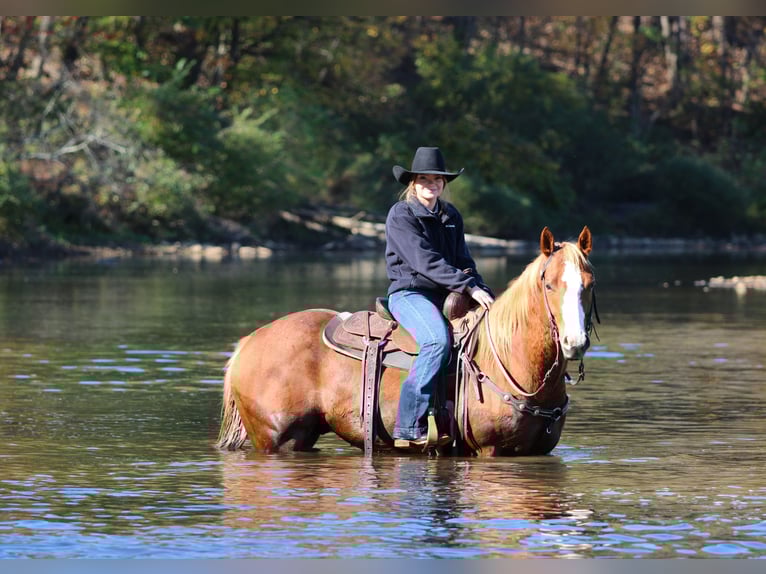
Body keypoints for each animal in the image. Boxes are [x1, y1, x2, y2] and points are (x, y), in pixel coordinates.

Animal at [217, 226, 596, 457]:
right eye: (548, 284)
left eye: (589, 283)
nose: (574, 341)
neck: (506, 359)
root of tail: (248, 343)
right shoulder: (490, 451)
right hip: (277, 439)